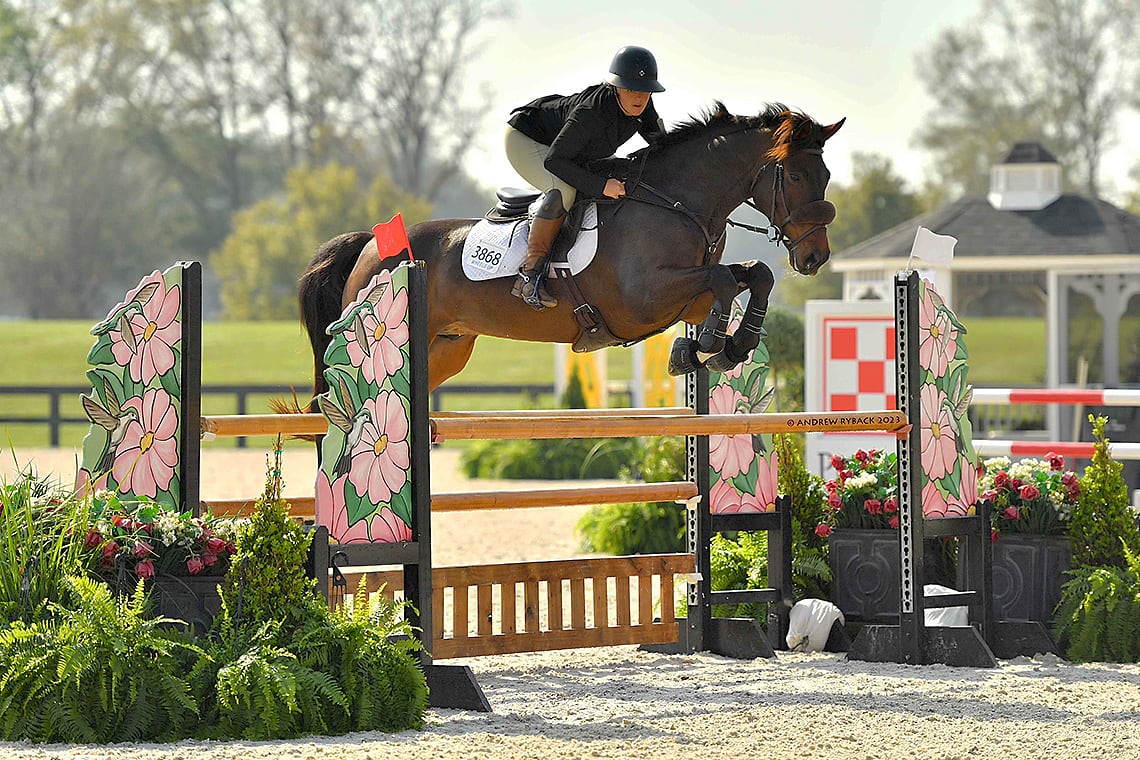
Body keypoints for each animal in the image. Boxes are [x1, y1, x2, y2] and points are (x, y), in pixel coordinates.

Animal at [298, 104, 843, 403]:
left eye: (827, 176)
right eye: (796, 175)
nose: (815, 257)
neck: (676, 201)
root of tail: (372, 244)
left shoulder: (684, 297)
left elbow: (753, 275)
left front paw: (727, 345)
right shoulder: (644, 299)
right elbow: (727, 279)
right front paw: (709, 345)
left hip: (447, 346)